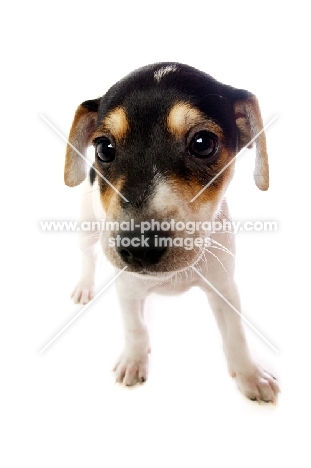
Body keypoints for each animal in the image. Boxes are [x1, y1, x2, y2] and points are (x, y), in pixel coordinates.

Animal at [64, 63, 280, 402]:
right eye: (104, 148)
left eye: (203, 143)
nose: (138, 246)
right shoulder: (126, 289)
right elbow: (135, 328)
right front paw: (134, 360)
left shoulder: (224, 287)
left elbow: (235, 334)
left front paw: (249, 375)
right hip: (87, 227)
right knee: (87, 256)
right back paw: (85, 287)